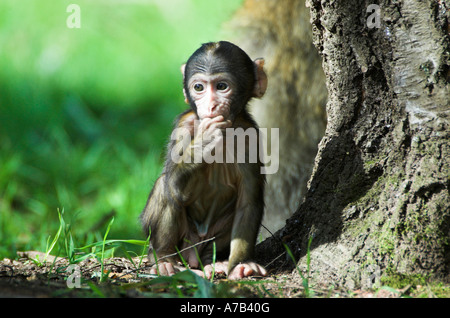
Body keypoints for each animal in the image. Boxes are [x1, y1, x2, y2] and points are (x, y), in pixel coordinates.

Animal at [141, 41, 268, 280]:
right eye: (199, 88)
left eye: (221, 86)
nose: (210, 106)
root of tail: (193, 253)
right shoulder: (183, 125)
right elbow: (174, 186)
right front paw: (204, 141)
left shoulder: (250, 136)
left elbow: (248, 203)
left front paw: (241, 264)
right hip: (183, 241)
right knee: (165, 187)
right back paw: (163, 259)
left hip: (210, 241)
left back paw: (214, 263)